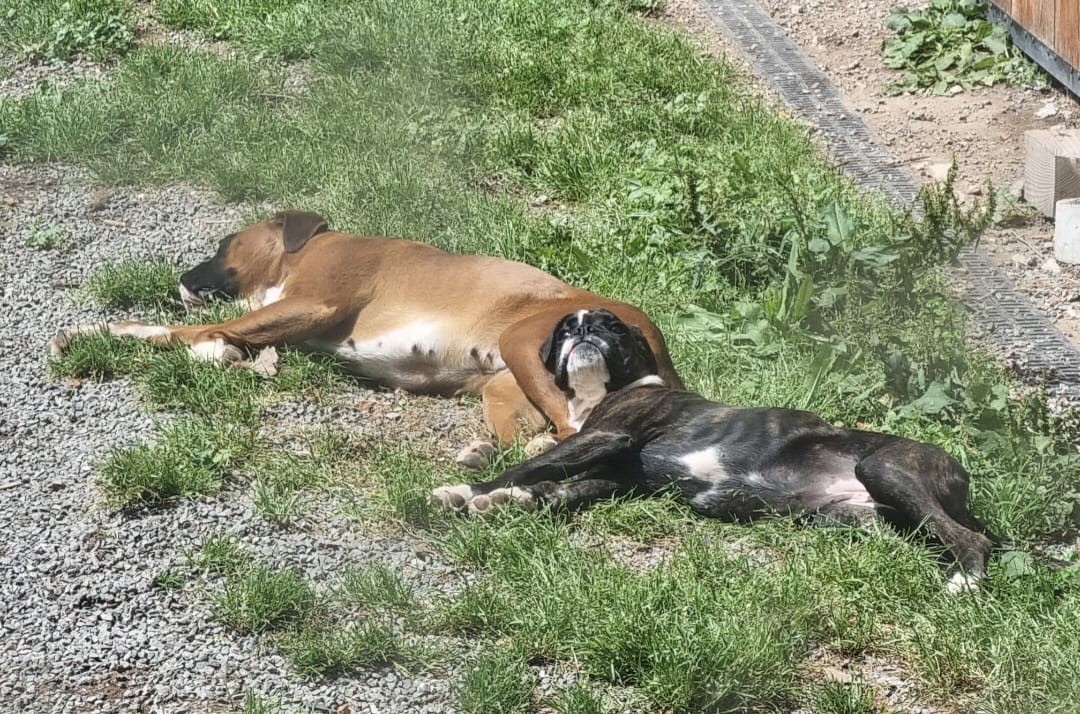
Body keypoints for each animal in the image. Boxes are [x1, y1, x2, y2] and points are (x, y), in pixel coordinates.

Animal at [49, 212, 681, 466]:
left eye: (226, 244)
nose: (183, 275)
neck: (301, 252)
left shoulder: (311, 302)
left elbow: (193, 328)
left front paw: (110, 331)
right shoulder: (289, 320)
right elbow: (223, 334)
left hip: (526, 344)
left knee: (572, 425)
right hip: (505, 387)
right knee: (540, 432)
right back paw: (487, 452)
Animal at [432, 309, 996, 592]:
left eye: (612, 326)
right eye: (566, 328)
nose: (584, 330)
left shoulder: (608, 437)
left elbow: (531, 463)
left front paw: (465, 490)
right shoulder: (615, 475)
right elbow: (558, 486)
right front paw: (511, 500)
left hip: (885, 468)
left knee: (970, 540)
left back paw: (963, 583)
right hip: (857, 517)